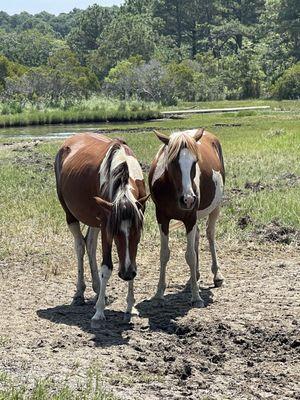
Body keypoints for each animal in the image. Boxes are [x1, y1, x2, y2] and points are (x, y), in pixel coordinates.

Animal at [54, 133, 148, 324]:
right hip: (70, 215)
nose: (126, 274)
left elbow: (132, 258)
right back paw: (80, 293)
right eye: (116, 233)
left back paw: (99, 291)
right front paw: (99, 311)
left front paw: (130, 306)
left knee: (90, 243)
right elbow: (106, 267)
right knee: (80, 246)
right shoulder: (106, 225)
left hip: (93, 220)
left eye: (137, 232)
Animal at [149, 128, 226, 306]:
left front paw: (196, 297)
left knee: (210, 235)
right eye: (172, 162)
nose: (189, 199)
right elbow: (164, 254)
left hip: (215, 207)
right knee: (197, 238)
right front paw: (159, 294)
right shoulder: (162, 218)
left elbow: (190, 256)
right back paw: (194, 277)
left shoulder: (190, 218)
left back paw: (216, 275)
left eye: (195, 161)